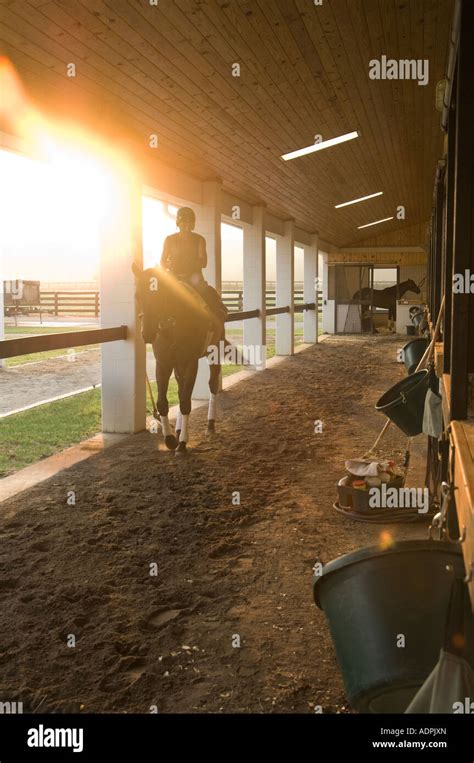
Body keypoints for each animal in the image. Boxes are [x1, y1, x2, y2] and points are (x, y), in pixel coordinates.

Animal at [131, 264, 225, 454]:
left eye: (158, 295)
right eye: (137, 296)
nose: (147, 333)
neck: (172, 327)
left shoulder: (190, 363)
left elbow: (185, 401)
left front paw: (181, 443)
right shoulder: (163, 364)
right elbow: (162, 402)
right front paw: (170, 439)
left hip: (214, 352)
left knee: (212, 385)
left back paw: (210, 425)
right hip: (177, 364)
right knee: (181, 387)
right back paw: (180, 429)